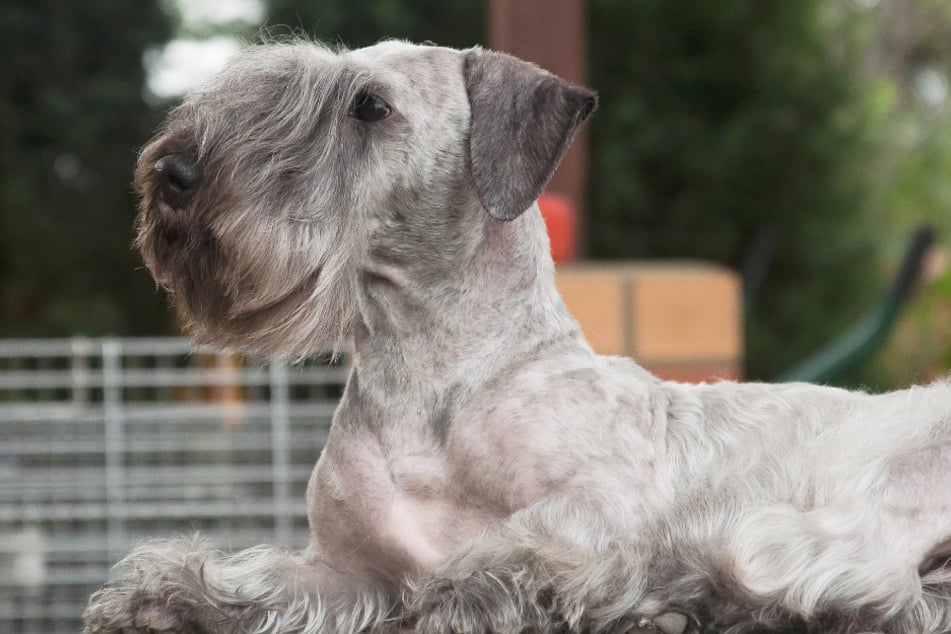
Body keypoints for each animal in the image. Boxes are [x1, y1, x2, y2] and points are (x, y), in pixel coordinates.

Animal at [83, 39, 951, 632]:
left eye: (370, 106)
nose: (173, 174)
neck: (427, 380)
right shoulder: (343, 569)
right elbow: (267, 583)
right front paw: (172, 595)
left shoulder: (605, 501)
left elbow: (519, 540)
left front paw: (479, 590)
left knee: (853, 577)